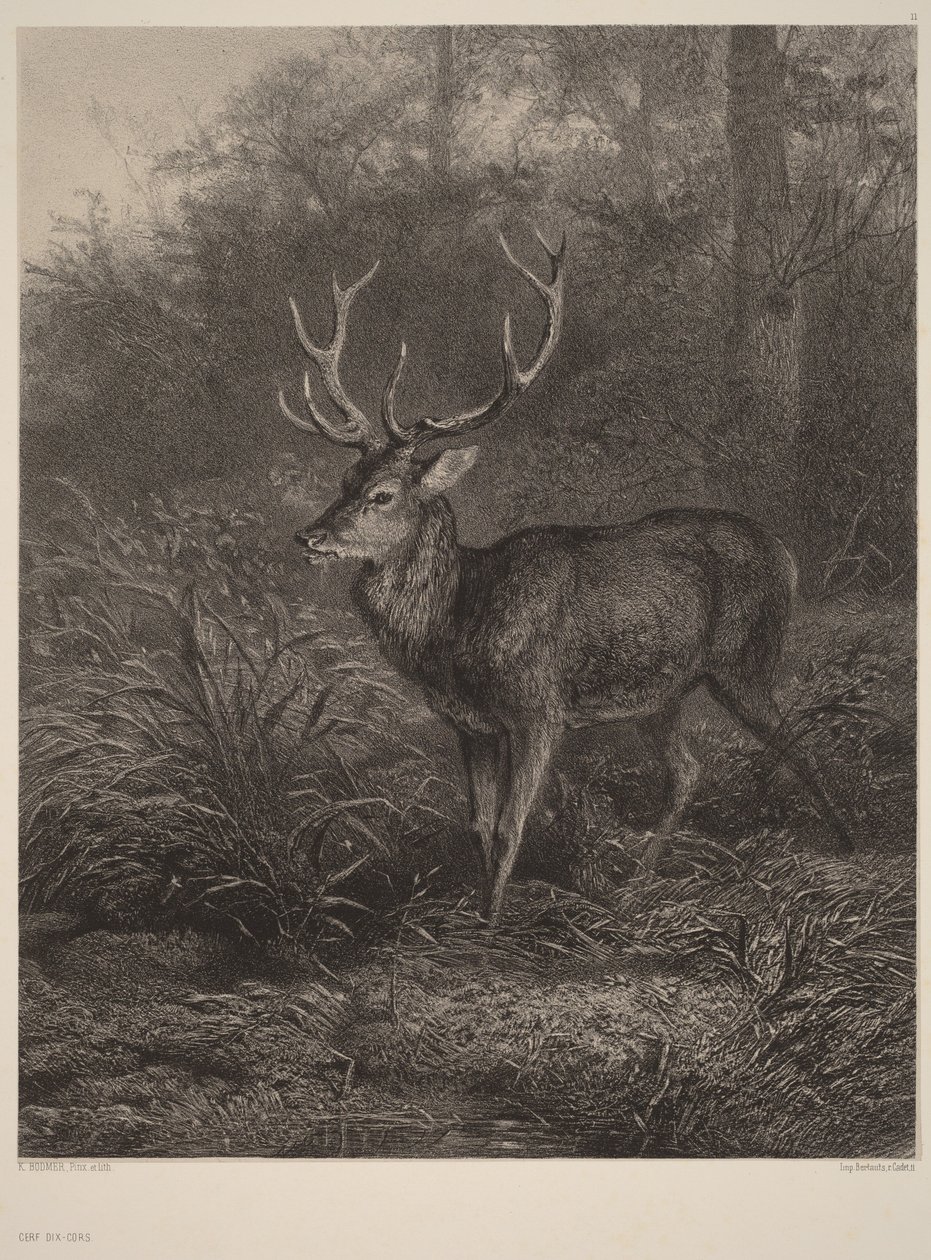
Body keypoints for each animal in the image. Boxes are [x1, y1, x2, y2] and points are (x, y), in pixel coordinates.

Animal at [278, 230, 852, 924]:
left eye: (383, 494)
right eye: (345, 482)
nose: (308, 537)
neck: (457, 623)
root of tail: (787, 556)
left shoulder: (538, 710)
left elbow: (510, 827)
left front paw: (493, 924)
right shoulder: (469, 724)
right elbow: (479, 825)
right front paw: (479, 909)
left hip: (745, 660)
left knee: (800, 743)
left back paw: (848, 850)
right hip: (663, 693)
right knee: (690, 768)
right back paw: (637, 881)